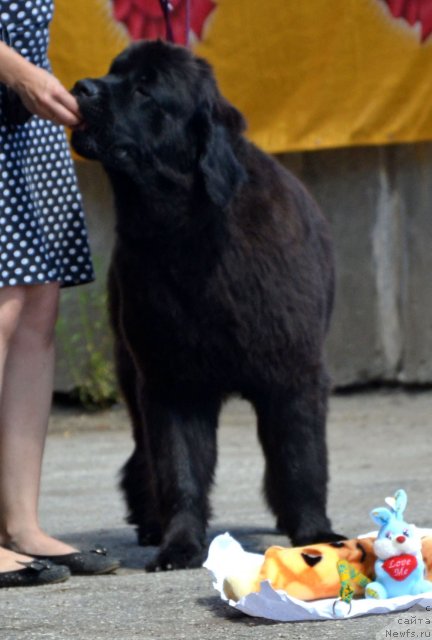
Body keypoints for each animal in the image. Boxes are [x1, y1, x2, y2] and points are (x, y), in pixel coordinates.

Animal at [71, 40, 340, 568]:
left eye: (145, 89)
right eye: (113, 72)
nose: (79, 87)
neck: (188, 235)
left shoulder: (294, 373)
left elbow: (301, 460)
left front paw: (315, 535)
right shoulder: (170, 382)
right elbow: (179, 469)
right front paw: (180, 544)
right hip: (132, 372)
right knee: (143, 457)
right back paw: (150, 524)